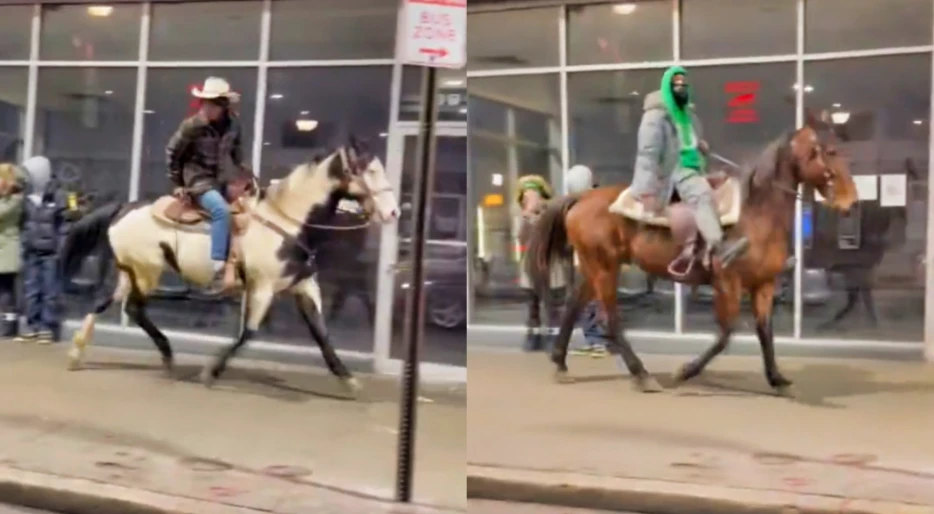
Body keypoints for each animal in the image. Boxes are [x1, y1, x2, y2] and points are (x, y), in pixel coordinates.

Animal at [58, 136, 394, 392]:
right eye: (369, 170)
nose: (393, 212)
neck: (288, 221)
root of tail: (122, 208)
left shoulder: (304, 287)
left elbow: (322, 334)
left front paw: (348, 378)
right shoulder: (262, 289)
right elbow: (249, 333)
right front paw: (211, 371)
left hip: (131, 272)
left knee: (108, 303)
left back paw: (78, 352)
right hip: (145, 273)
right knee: (133, 309)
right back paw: (165, 355)